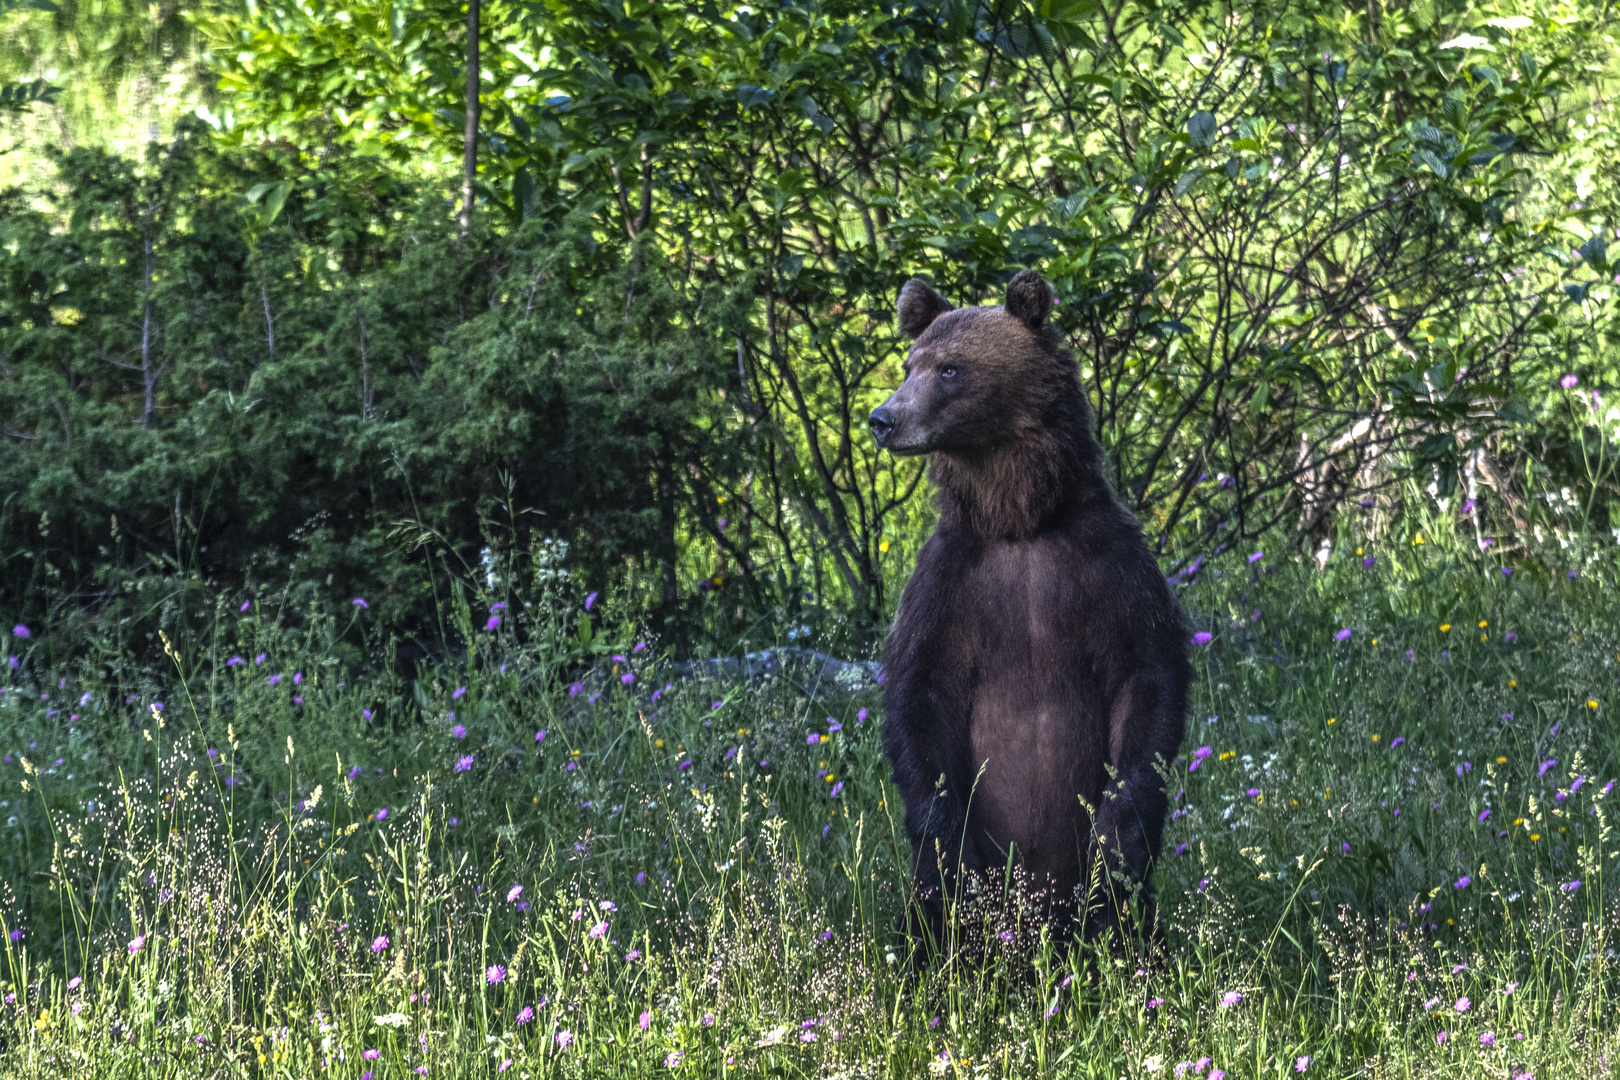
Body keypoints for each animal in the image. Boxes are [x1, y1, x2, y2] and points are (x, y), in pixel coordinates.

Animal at [874, 270, 1192, 952]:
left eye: (950, 368)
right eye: (910, 364)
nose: (883, 418)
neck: (1019, 520)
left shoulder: (1109, 566)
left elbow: (1147, 682)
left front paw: (1114, 843)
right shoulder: (948, 584)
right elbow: (920, 701)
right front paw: (955, 858)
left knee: (1132, 923)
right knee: (926, 919)